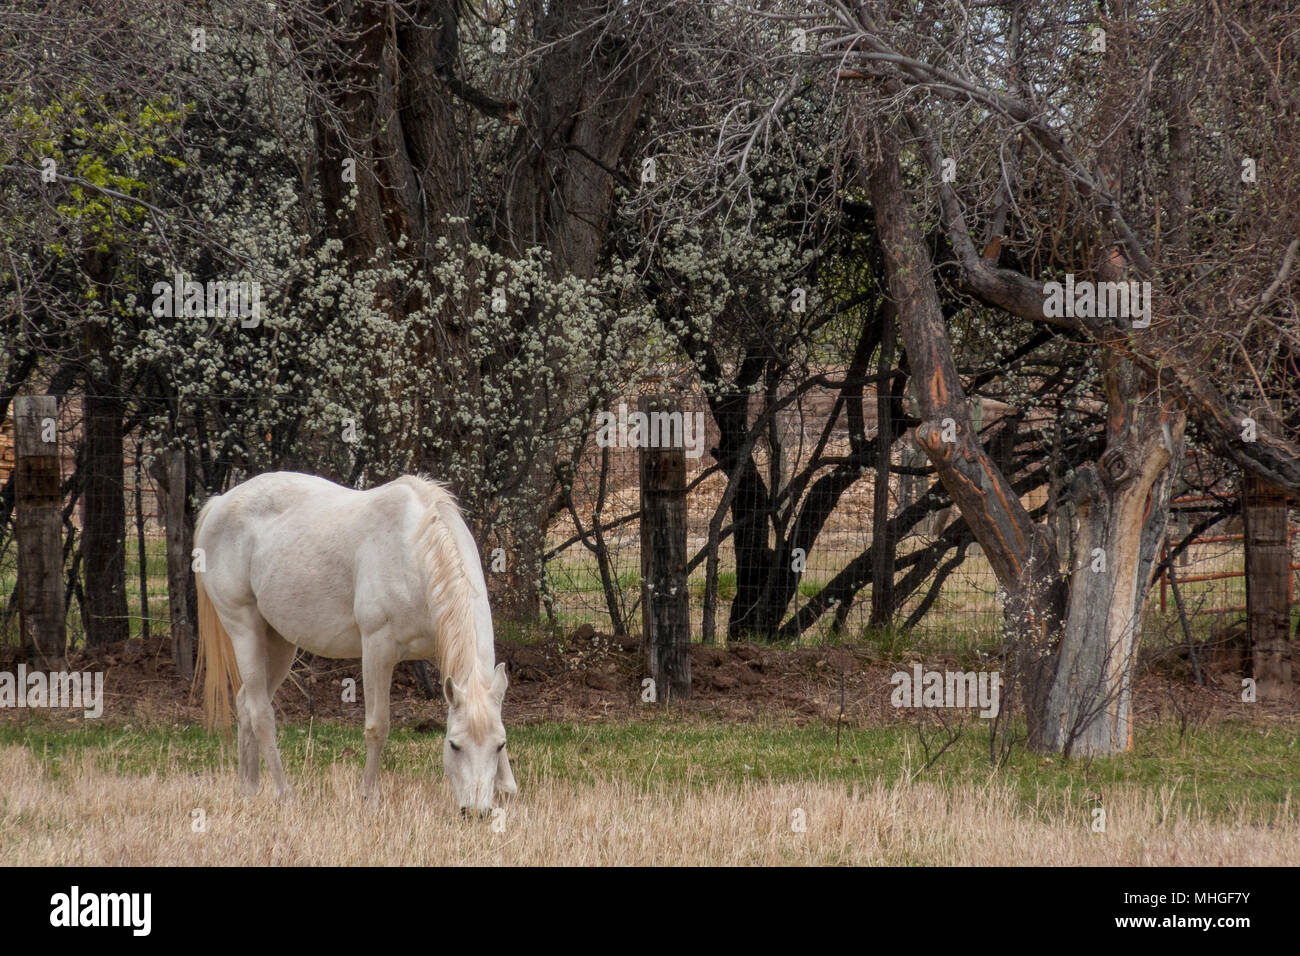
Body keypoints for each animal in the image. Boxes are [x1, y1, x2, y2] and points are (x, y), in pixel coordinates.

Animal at [193, 471, 517, 813]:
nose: (477, 812)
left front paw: (507, 789)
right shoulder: (377, 649)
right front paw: (368, 796)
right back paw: (284, 793)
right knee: (260, 713)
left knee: (245, 703)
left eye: (500, 745)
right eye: (454, 745)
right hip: (246, 630)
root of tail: (219, 503)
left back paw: (248, 789)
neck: (414, 549)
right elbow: (378, 726)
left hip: (279, 641)